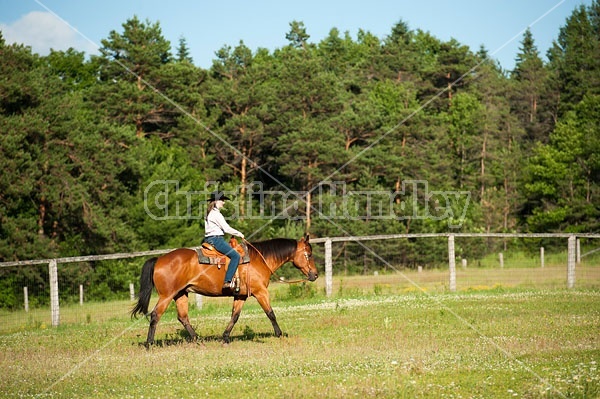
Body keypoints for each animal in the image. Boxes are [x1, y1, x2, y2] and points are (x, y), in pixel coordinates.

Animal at [131, 234, 318, 346]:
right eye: (308, 254)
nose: (315, 274)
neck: (259, 259)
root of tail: (159, 259)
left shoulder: (241, 296)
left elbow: (234, 316)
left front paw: (225, 338)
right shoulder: (260, 292)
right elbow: (270, 313)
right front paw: (280, 334)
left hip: (180, 294)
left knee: (183, 317)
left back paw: (198, 340)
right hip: (166, 295)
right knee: (155, 315)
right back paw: (149, 344)